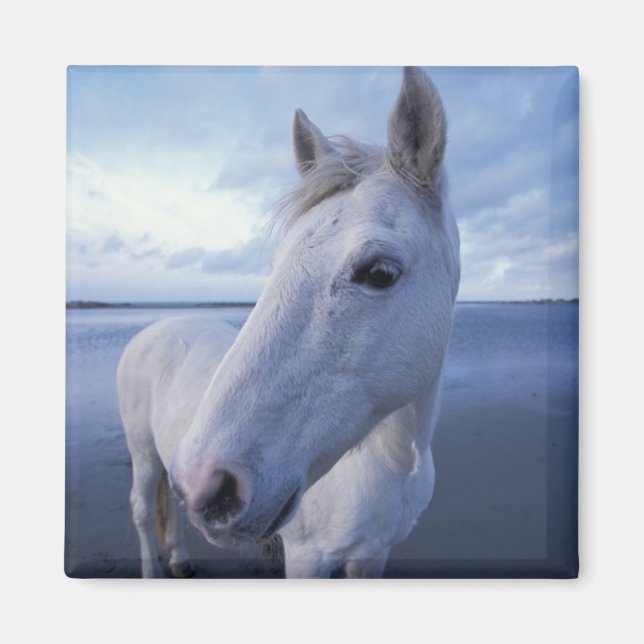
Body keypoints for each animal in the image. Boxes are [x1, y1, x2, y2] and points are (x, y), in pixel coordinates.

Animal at [117, 66, 460, 578]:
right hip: (142, 452)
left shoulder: (373, 555)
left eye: (380, 272)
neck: (392, 462)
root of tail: (155, 329)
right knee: (142, 511)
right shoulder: (305, 557)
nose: (205, 485)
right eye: (276, 263)